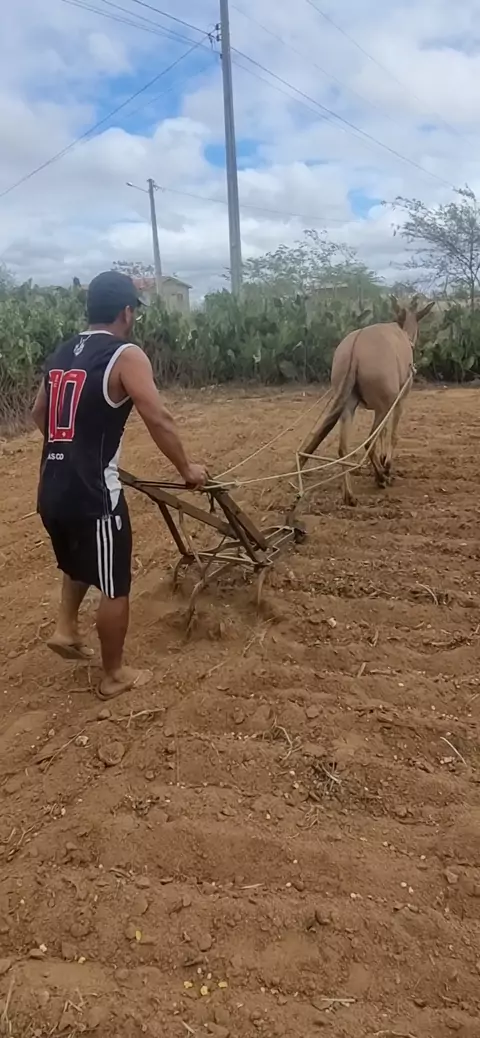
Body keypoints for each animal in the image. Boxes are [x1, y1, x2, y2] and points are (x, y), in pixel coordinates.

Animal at [299, 296, 435, 506]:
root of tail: (354, 350)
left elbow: (382, 433)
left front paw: (383, 459)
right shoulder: (398, 400)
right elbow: (392, 434)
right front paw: (387, 464)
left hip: (348, 406)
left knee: (343, 447)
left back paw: (349, 495)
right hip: (382, 405)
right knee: (368, 441)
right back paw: (381, 477)